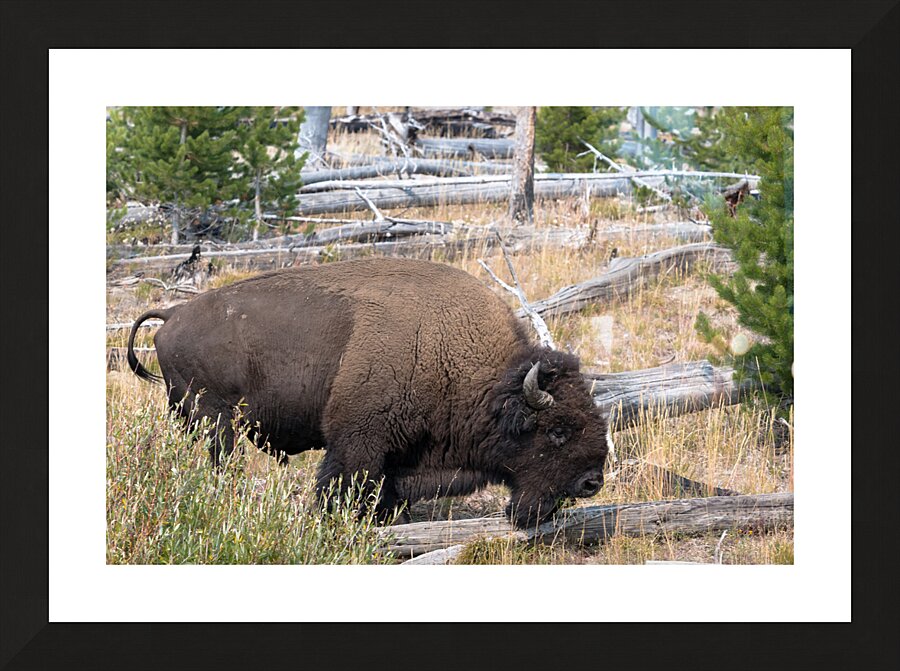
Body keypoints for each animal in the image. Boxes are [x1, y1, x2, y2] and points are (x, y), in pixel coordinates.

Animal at [127, 258, 610, 528]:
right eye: (557, 430)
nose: (591, 483)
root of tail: (172, 314)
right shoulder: (359, 439)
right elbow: (345, 484)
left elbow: (388, 490)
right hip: (216, 420)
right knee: (223, 463)